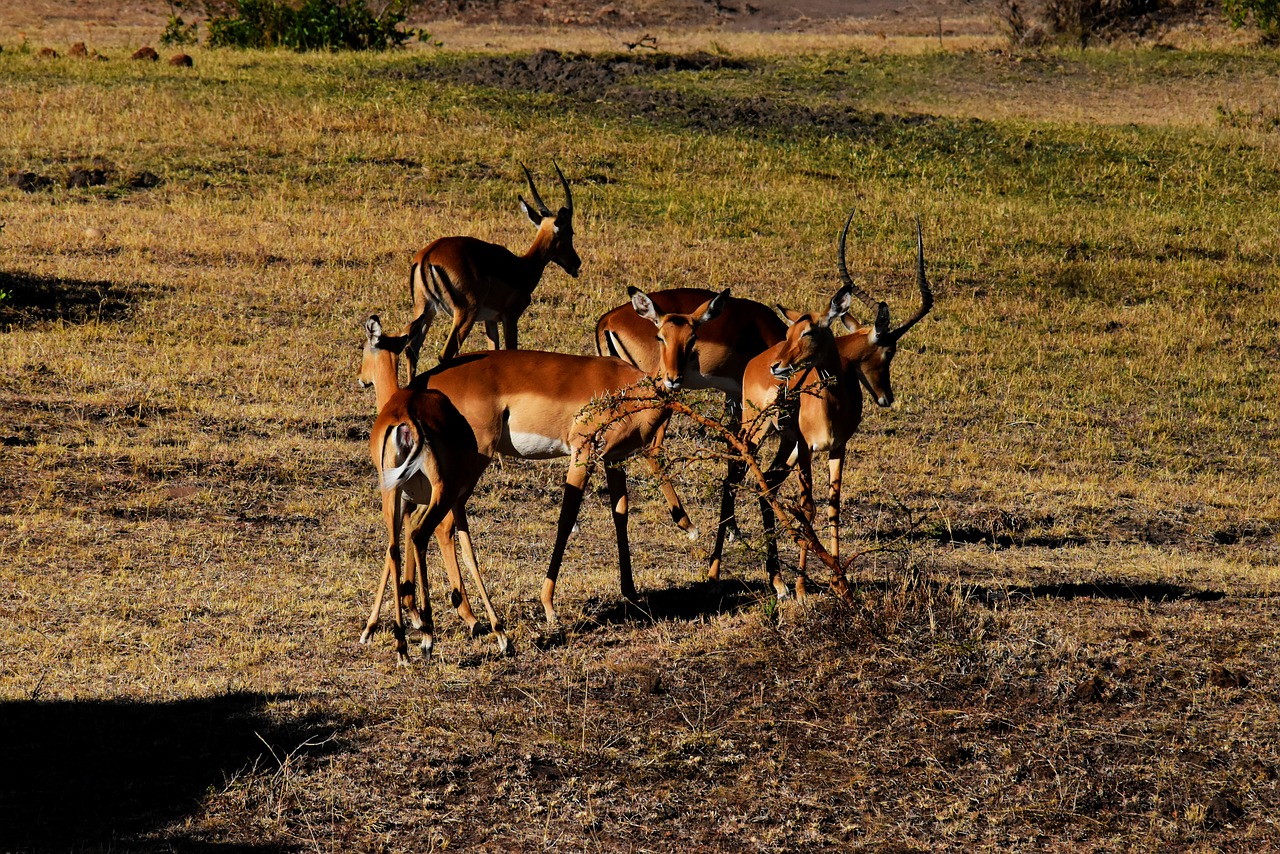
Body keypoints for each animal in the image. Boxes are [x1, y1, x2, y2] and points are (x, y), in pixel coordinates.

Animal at [358, 313, 506, 660]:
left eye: (363, 348)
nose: (360, 378)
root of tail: (408, 418)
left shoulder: (408, 501)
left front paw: (376, 626)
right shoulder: (421, 501)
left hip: (427, 494)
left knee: (410, 540)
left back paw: (417, 640)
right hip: (438, 496)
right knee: (421, 540)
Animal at [404, 162, 581, 373]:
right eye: (570, 232)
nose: (576, 263)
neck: (523, 268)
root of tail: (427, 256)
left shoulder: (490, 321)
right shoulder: (510, 317)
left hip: (425, 308)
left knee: (411, 350)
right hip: (465, 314)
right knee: (444, 354)